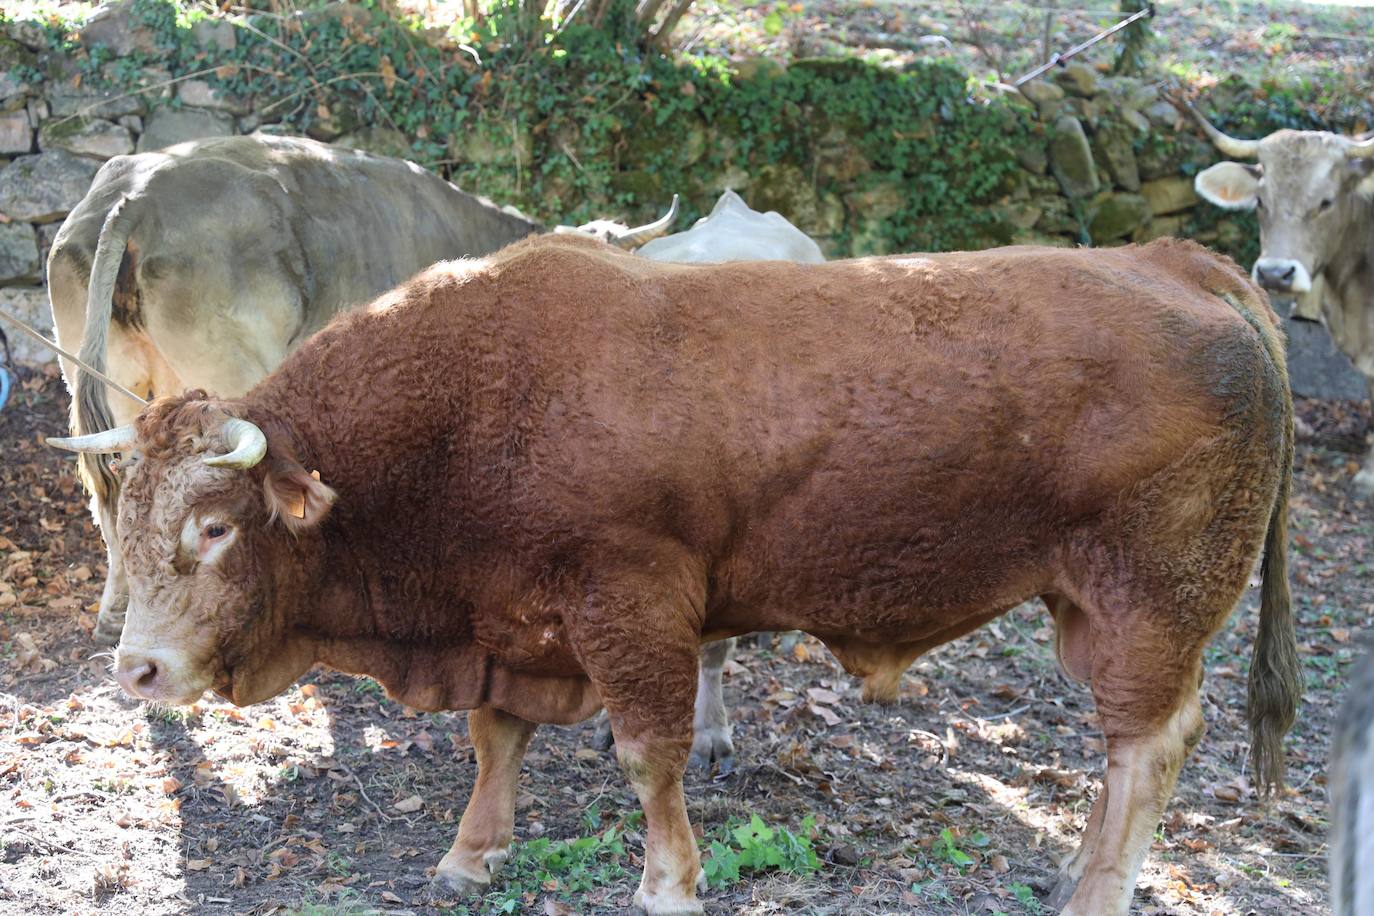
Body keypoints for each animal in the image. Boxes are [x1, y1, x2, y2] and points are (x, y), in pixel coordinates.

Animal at [50, 238, 1297, 916]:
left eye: (215, 525)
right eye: (126, 519)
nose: (137, 669)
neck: (479, 401)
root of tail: (1178, 262)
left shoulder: (630, 599)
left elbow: (651, 753)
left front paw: (667, 880)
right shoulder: (512, 620)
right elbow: (496, 738)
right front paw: (470, 851)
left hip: (1148, 604)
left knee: (1148, 744)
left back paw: (1096, 885)